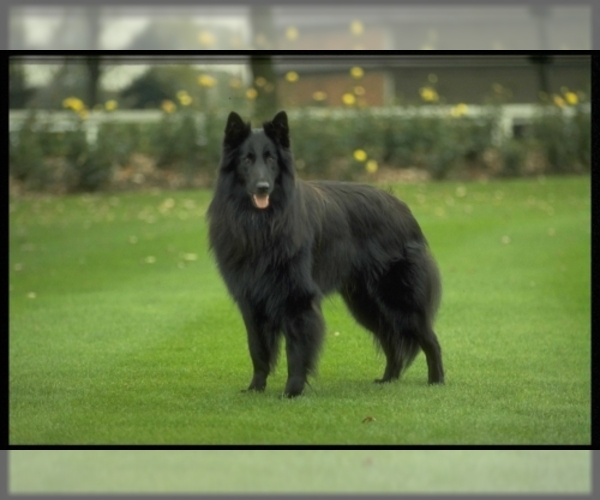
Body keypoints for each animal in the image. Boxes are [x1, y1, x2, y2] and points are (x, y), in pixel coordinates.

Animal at [207, 111, 446, 396]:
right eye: (247, 159)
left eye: (271, 159)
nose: (263, 187)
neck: (261, 225)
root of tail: (401, 206)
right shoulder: (251, 302)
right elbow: (258, 350)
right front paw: (256, 387)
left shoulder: (297, 301)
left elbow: (296, 350)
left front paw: (293, 390)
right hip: (366, 303)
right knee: (391, 340)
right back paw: (388, 378)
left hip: (397, 299)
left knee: (429, 338)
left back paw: (437, 380)